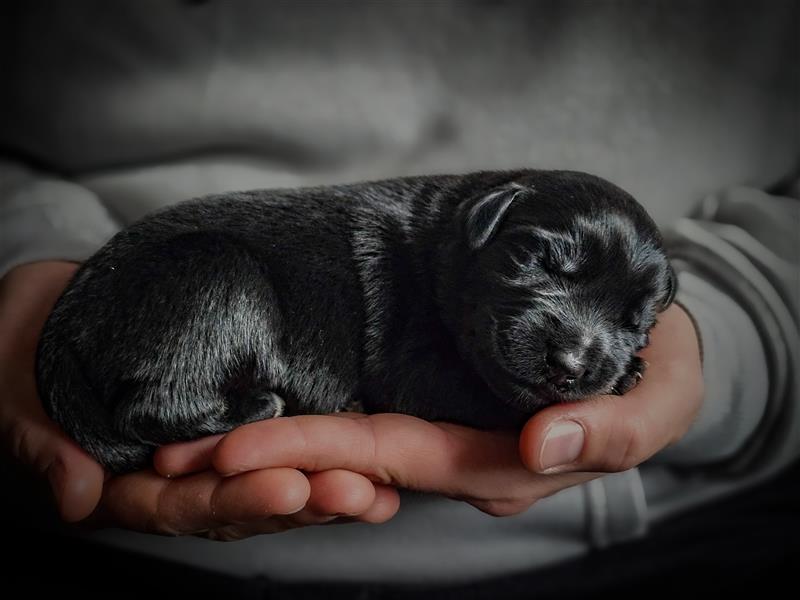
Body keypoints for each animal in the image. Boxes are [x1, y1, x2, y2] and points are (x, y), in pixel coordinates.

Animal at [36, 170, 676, 474]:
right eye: (535, 260)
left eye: (636, 321)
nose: (570, 364)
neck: (446, 241)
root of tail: (64, 323)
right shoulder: (412, 365)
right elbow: (483, 392)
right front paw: (625, 378)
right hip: (217, 276)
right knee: (150, 406)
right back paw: (260, 405)